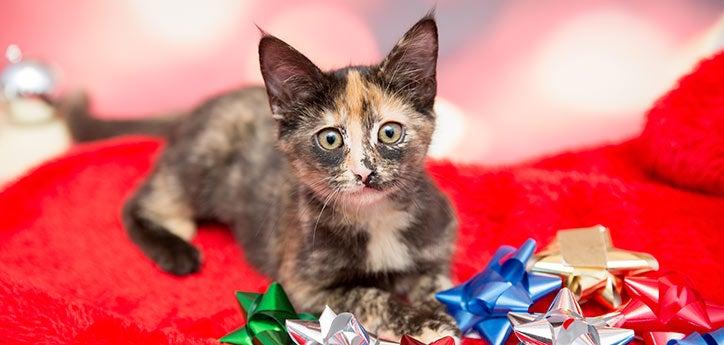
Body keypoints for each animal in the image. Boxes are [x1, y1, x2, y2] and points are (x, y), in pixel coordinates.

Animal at [65, 14, 458, 342]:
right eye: (330, 139)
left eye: (389, 133)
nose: (365, 172)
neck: (376, 219)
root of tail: (197, 107)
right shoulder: (306, 287)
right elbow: (370, 295)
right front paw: (421, 321)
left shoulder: (436, 247)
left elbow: (437, 284)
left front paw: (438, 310)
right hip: (202, 162)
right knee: (139, 202)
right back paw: (176, 248)